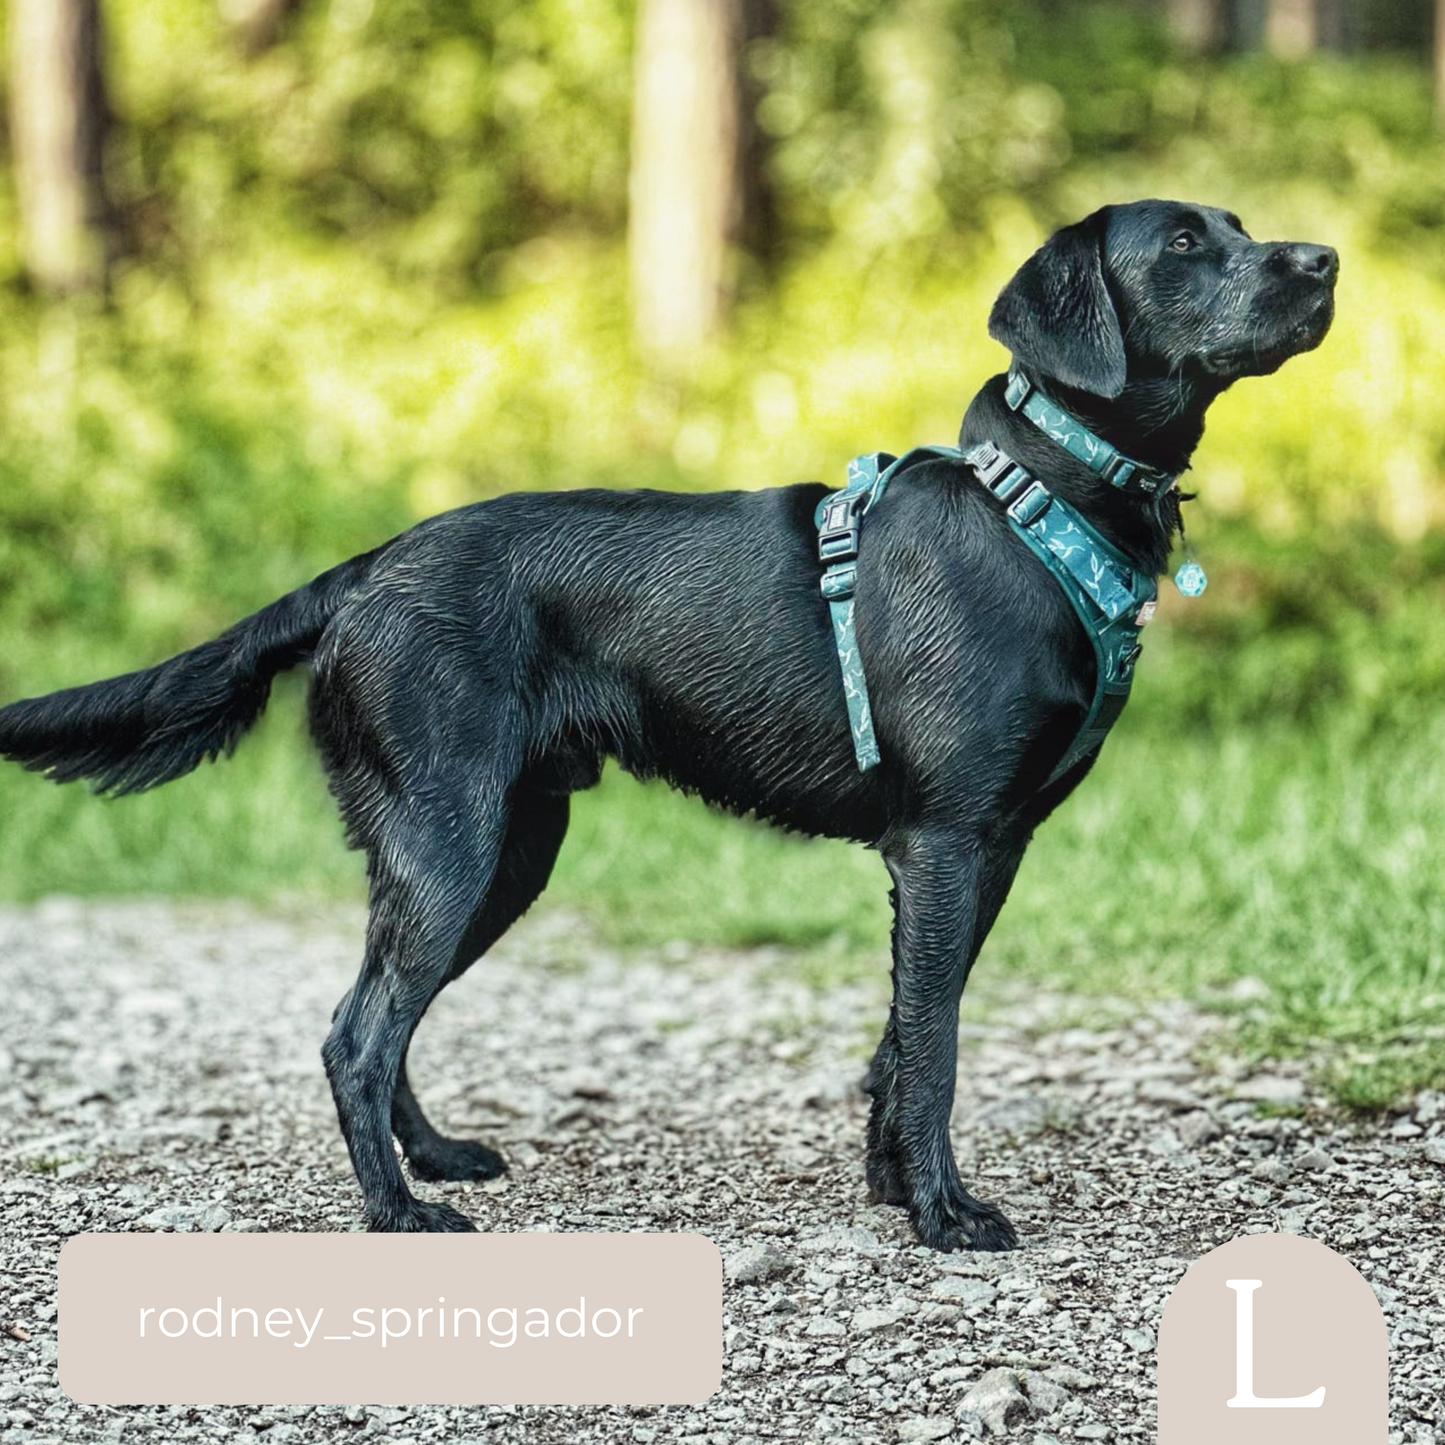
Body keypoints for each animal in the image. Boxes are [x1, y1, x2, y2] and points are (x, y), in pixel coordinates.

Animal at [0, 197, 1335, 1248]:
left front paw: (890, 1187)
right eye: (1182, 242)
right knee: (356, 1033)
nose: (1322, 258)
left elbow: (898, 1042)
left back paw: (432, 1157)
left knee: (374, 1016)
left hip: (502, 849)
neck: (1036, 508)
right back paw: (399, 1209)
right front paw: (944, 1214)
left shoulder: (985, 850)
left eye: (1237, 225)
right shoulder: (946, 842)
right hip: (450, 839)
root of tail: (366, 569)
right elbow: (936, 1045)